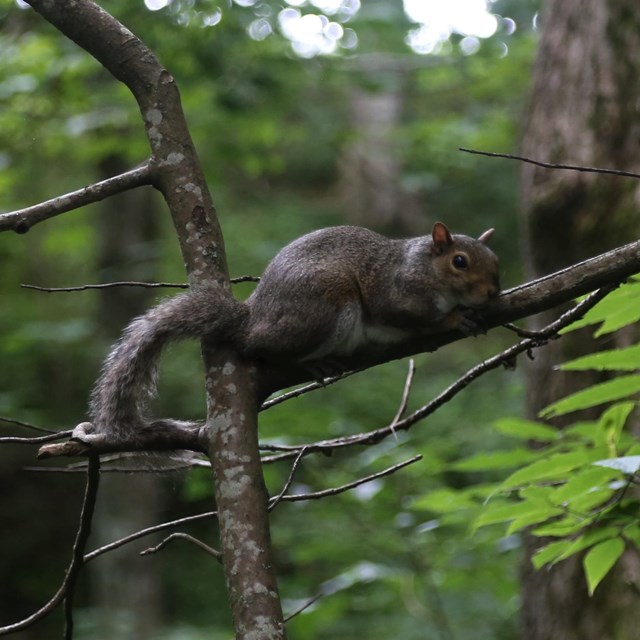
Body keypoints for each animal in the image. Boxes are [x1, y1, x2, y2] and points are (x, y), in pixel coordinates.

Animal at [71, 222, 500, 448]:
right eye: (459, 262)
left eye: (495, 261)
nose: (493, 293)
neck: (424, 268)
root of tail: (253, 316)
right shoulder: (393, 292)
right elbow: (409, 316)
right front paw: (452, 319)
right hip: (325, 307)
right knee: (258, 347)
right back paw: (310, 361)